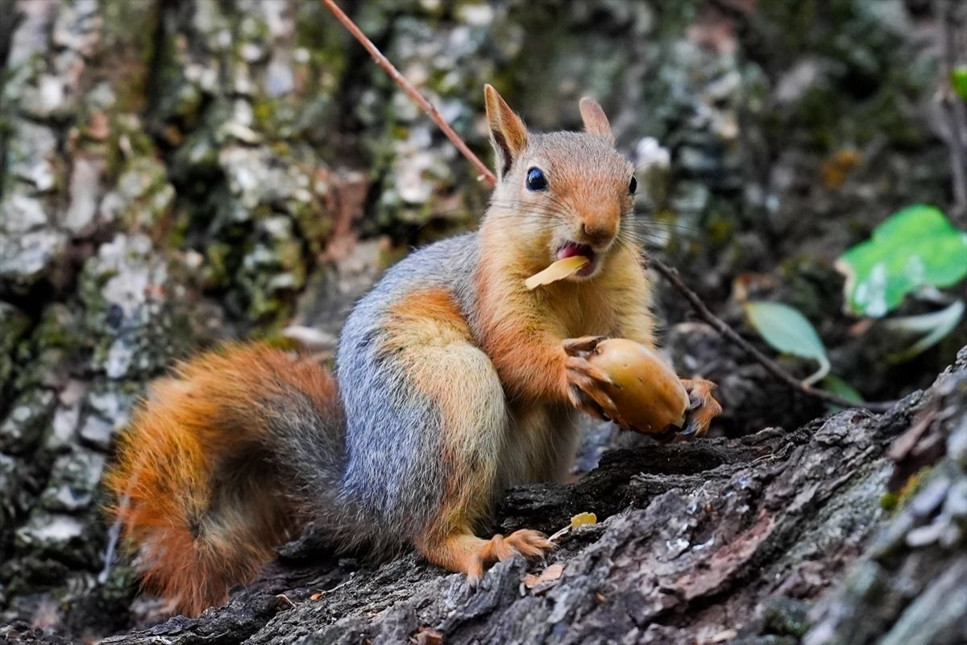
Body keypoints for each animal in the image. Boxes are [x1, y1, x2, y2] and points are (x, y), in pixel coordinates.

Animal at [109, 85, 724, 612]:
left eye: (633, 182)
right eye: (535, 179)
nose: (598, 229)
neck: (574, 282)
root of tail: (368, 491)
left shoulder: (624, 297)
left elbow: (639, 342)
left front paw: (693, 390)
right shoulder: (490, 291)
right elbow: (514, 353)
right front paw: (567, 366)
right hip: (449, 394)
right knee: (428, 532)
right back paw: (483, 546)